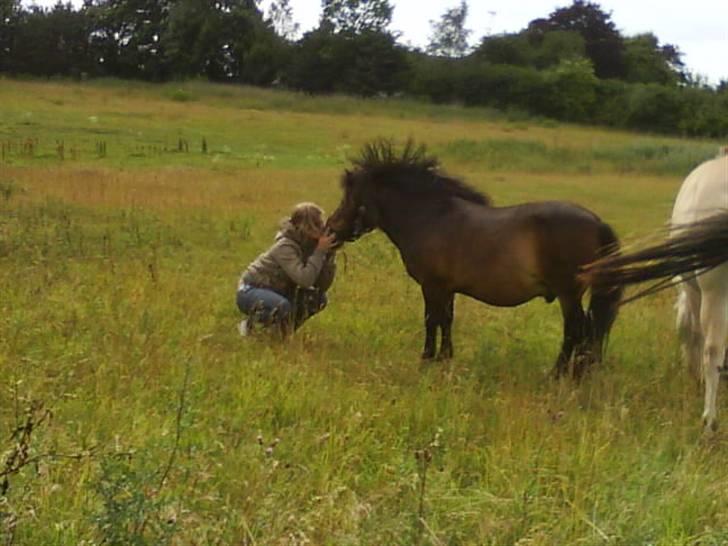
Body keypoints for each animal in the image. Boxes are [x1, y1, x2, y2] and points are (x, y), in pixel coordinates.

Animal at [328, 140, 620, 376]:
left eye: (350, 197)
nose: (330, 230)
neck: (429, 217)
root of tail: (597, 222)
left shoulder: (431, 286)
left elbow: (431, 320)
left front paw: (426, 359)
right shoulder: (447, 288)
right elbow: (446, 319)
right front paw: (444, 358)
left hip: (568, 293)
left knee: (576, 330)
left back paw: (559, 374)